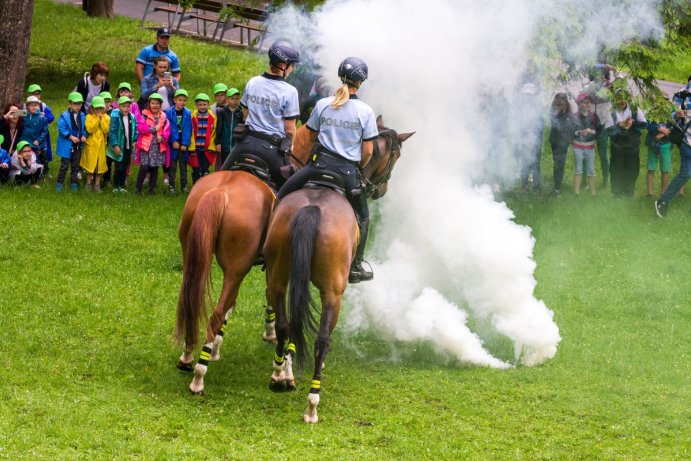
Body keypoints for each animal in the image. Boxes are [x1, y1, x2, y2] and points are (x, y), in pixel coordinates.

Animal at [262, 122, 414, 420]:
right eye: (397, 156)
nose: (381, 190)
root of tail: (312, 208)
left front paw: (286, 369)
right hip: (333, 293)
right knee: (322, 340)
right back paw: (312, 402)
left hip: (278, 277)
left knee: (285, 326)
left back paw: (277, 376)